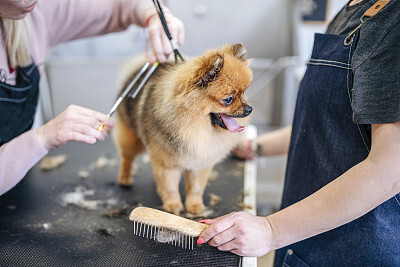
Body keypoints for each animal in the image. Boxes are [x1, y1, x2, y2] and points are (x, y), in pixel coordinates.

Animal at [112, 44, 253, 216]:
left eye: (244, 92)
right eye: (228, 99)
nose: (249, 109)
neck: (194, 127)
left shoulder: (200, 163)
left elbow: (196, 188)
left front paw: (195, 206)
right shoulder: (167, 164)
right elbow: (169, 187)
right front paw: (173, 206)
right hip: (132, 138)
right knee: (127, 157)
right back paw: (125, 178)